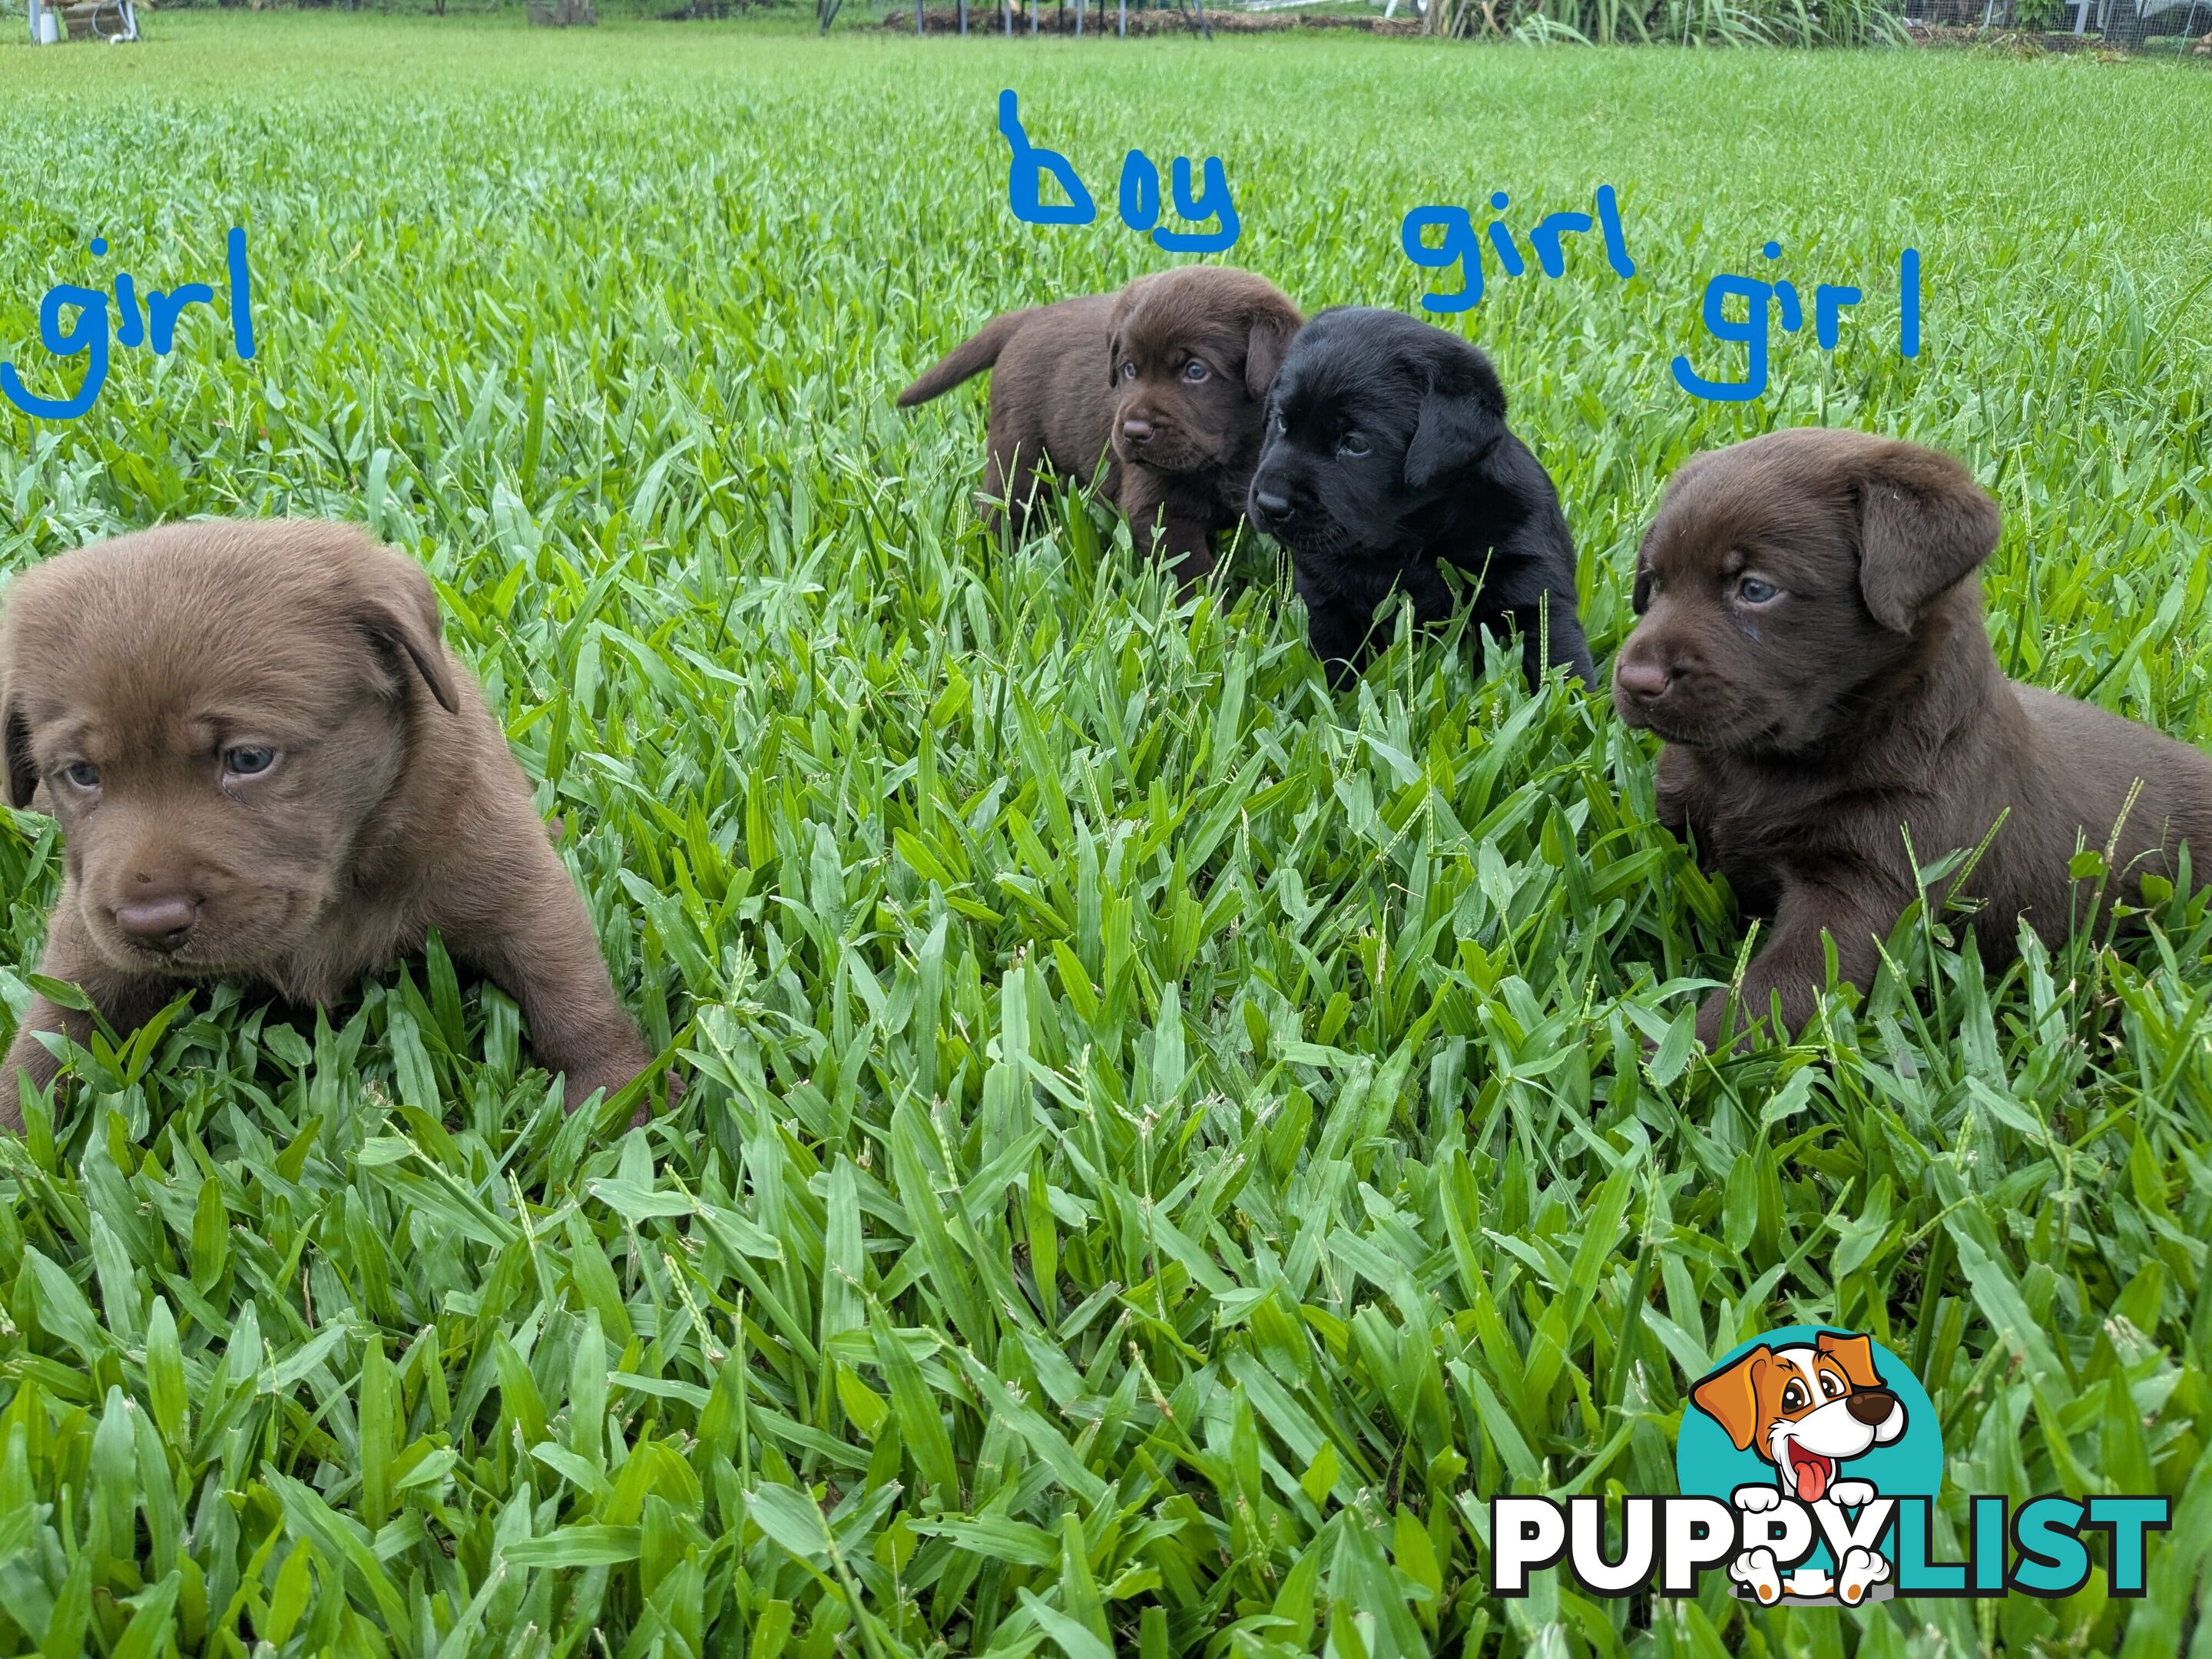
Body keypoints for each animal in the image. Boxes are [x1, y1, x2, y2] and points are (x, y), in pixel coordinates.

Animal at [0, 526, 664, 1141]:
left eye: (249, 758)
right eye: (81, 774)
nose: (151, 925)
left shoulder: (506, 874)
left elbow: (568, 988)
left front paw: (618, 1099)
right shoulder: (89, 937)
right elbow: (50, 1032)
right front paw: (16, 1137)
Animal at [1247, 310, 1592, 690]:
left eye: (1356, 444)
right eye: (1281, 422)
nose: (1269, 504)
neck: (1411, 540)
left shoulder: (1533, 587)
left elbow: (1560, 668)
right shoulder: (1321, 598)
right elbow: (1332, 665)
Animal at [1610, 431, 2212, 1052]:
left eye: (1756, 589)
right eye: (1654, 582)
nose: (1635, 680)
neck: (1768, 767)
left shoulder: (1874, 878)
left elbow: (1765, 1001)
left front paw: (1669, 1055)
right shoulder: (1677, 824)